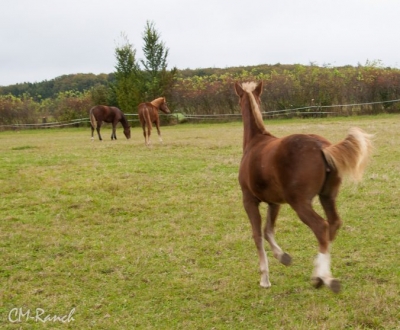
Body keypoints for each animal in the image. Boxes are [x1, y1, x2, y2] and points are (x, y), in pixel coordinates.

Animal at [234, 81, 372, 292]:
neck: (254, 142)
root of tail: (322, 146)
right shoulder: (275, 202)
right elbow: (268, 230)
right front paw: (284, 257)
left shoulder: (249, 200)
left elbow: (257, 235)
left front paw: (265, 279)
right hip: (327, 196)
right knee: (333, 224)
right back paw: (319, 277)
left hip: (300, 203)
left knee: (321, 227)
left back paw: (328, 280)